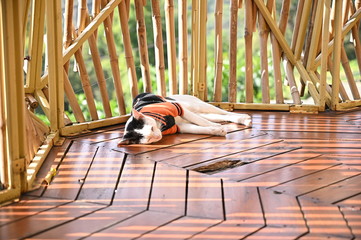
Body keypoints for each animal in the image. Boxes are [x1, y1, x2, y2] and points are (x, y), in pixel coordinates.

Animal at [118, 92, 250, 144]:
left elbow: (201, 122)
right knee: (219, 116)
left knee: (223, 111)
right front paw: (217, 130)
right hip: (201, 112)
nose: (158, 136)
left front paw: (216, 127)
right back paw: (243, 120)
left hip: (196, 106)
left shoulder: (180, 109)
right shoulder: (180, 126)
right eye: (149, 139)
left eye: (151, 128)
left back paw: (244, 117)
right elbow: (198, 128)